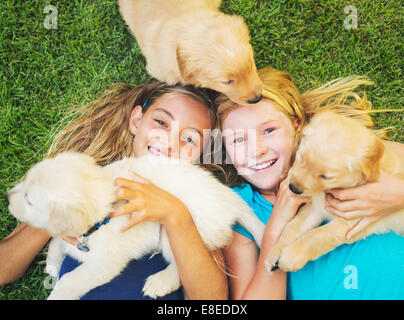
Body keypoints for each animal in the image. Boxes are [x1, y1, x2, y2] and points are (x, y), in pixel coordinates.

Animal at [8, 151, 266, 298]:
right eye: (25, 182)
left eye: (29, 200)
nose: (7, 196)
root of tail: (230, 198)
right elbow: (56, 240)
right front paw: (53, 263)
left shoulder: (104, 265)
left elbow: (70, 279)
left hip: (178, 230)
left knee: (179, 266)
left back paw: (160, 283)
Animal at [266, 110, 404, 272]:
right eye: (301, 158)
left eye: (326, 177)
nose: (293, 188)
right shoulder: (315, 208)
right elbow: (292, 226)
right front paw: (276, 251)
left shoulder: (349, 222)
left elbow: (316, 236)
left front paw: (291, 256)